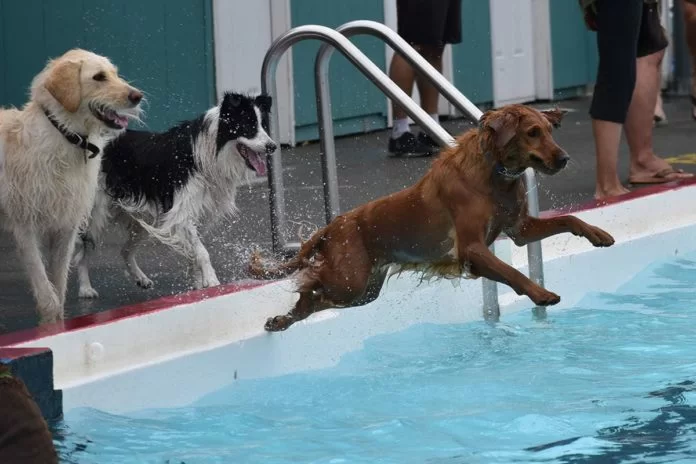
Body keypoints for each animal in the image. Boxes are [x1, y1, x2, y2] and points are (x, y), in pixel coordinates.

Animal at [0, 48, 143, 322]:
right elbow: (47, 295)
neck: (64, 135)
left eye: (115, 74)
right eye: (98, 77)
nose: (138, 96)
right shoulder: (24, 227)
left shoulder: (64, 227)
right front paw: (50, 326)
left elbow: (59, 285)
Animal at [251, 104, 616, 332]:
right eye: (532, 132)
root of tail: (332, 224)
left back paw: (280, 321)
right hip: (349, 280)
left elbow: (569, 220)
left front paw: (598, 233)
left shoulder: (520, 229)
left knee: (312, 299)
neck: (494, 174)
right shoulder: (471, 249)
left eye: (550, 131)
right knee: (310, 287)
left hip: (364, 290)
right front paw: (540, 293)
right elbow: (511, 271)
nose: (564, 158)